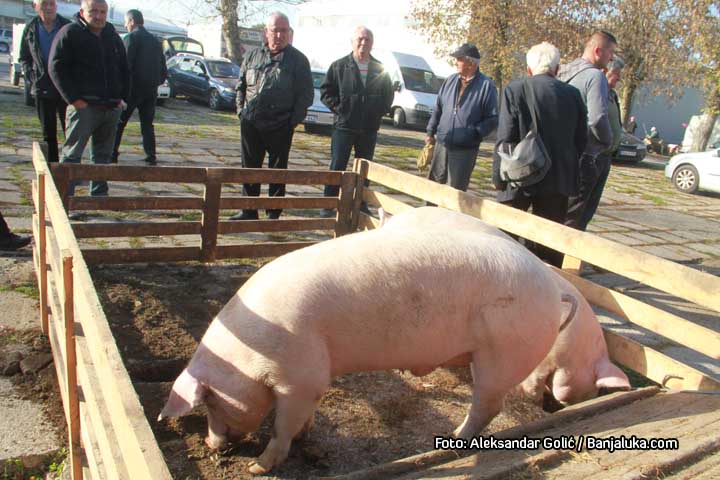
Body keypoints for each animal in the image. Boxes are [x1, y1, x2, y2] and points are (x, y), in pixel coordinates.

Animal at [160, 224, 576, 472]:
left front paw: (258, 467)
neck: (251, 354)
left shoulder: (301, 377)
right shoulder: (315, 380)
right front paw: (306, 436)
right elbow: (305, 416)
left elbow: (282, 426)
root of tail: (554, 288)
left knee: (488, 404)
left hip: (503, 352)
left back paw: (453, 439)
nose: (211, 444)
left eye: (210, 401)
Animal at [382, 208, 632, 406]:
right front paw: (530, 396)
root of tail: (393, 219)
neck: (577, 351)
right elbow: (535, 381)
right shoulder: (545, 357)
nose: (560, 406)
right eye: (593, 388)